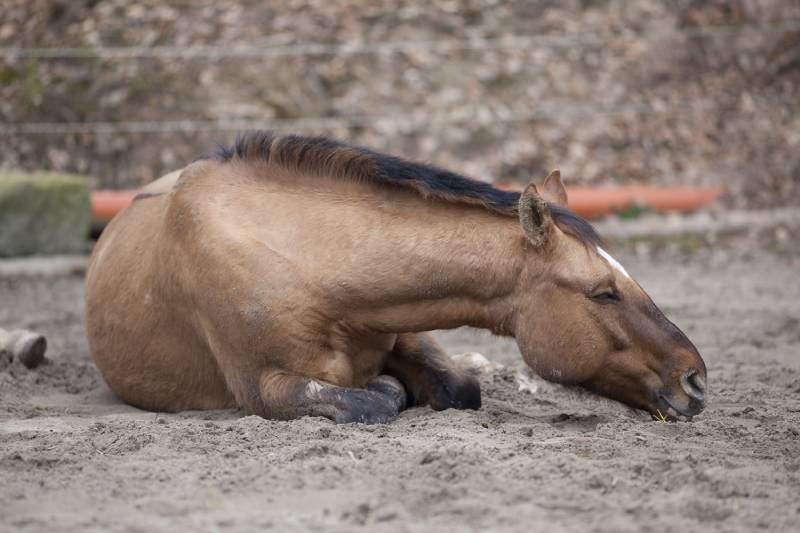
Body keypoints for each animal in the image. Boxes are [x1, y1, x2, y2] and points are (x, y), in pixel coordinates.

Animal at [85, 131, 707, 423]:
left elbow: (459, 387)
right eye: (602, 292)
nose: (696, 380)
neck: (308, 261)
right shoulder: (265, 387)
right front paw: (389, 391)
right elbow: (373, 399)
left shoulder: (405, 325)